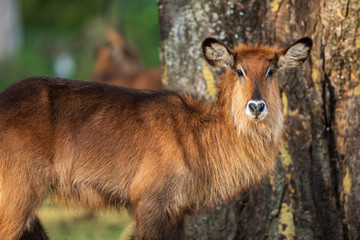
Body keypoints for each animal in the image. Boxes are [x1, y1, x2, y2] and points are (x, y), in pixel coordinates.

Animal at [0, 36, 312, 239]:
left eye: (271, 71)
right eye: (239, 70)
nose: (256, 107)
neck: (199, 134)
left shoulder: (177, 212)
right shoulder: (149, 202)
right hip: (18, 195)